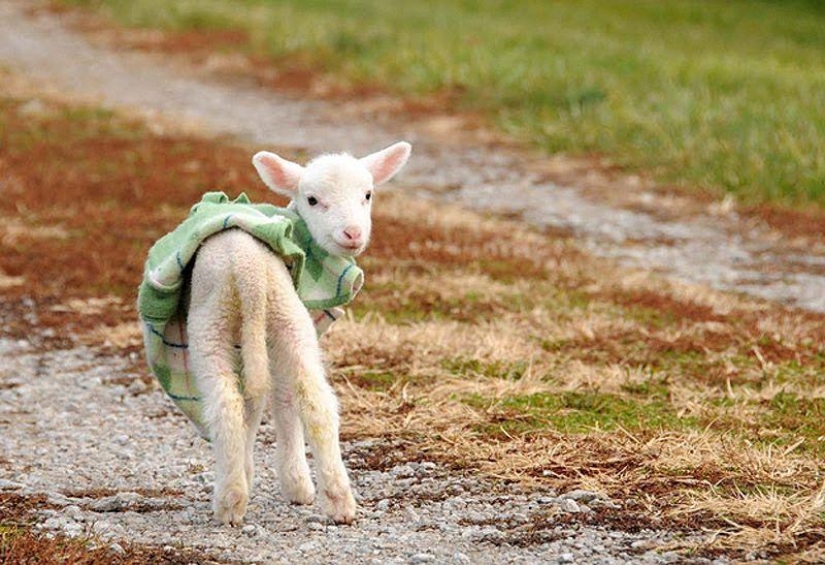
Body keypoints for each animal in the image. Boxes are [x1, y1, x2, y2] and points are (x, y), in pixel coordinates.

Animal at [141, 141, 411, 526]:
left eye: (367, 194)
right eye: (312, 199)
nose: (353, 234)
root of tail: (248, 272)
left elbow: (265, 406)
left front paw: (260, 476)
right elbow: (276, 403)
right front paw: (275, 479)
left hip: (214, 326)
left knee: (228, 404)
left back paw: (232, 501)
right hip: (288, 320)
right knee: (316, 401)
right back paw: (339, 504)